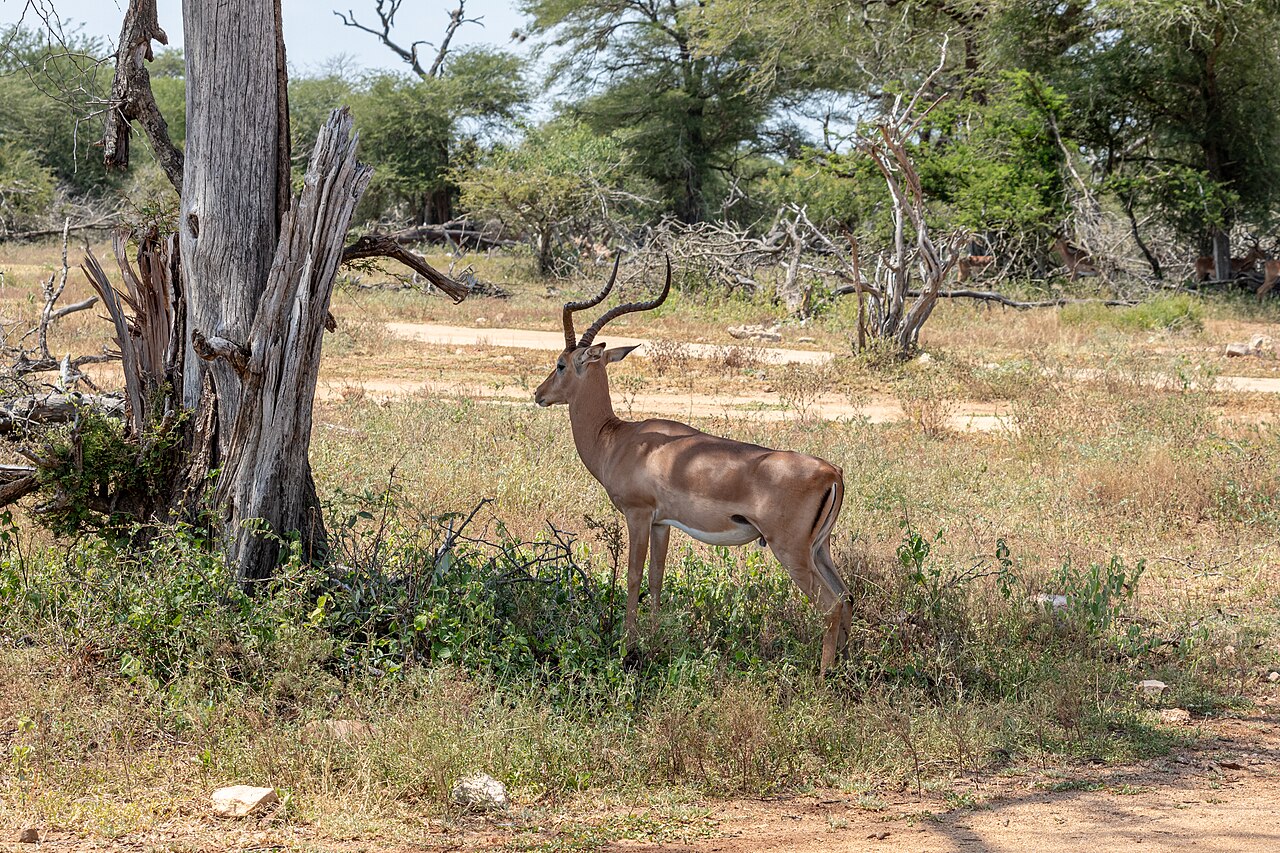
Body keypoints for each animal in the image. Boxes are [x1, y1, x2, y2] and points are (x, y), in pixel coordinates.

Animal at [535, 258, 853, 671]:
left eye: (560, 364)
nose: (538, 394)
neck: (618, 438)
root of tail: (832, 473)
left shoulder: (637, 515)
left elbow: (633, 577)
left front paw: (627, 649)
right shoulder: (662, 523)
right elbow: (656, 578)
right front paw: (653, 643)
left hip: (791, 552)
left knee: (829, 605)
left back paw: (823, 674)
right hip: (820, 549)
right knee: (846, 597)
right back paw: (844, 666)